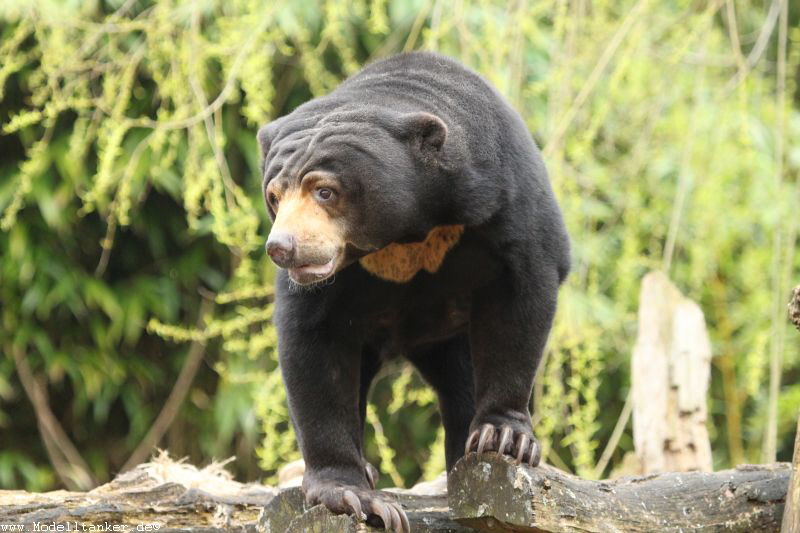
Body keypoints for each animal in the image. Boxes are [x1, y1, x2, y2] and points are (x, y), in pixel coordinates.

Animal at [256, 51, 568, 532]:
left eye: (325, 191)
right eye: (274, 196)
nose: (282, 248)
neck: (407, 232)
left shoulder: (507, 198)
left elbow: (521, 296)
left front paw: (503, 438)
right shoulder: (321, 289)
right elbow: (314, 347)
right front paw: (352, 494)